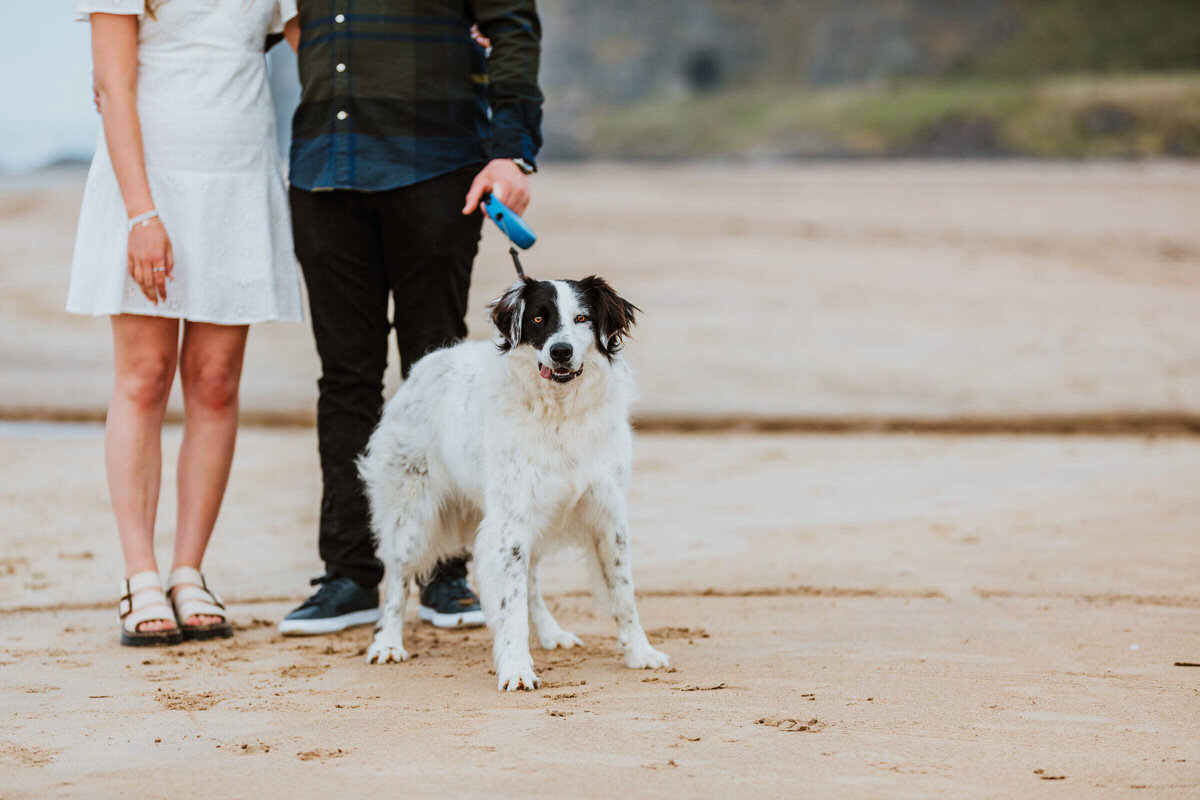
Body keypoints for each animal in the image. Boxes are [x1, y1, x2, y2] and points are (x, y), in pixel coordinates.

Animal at [355, 275, 676, 690]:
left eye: (582, 317)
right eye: (539, 318)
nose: (560, 351)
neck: (560, 412)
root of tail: (423, 367)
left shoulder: (606, 515)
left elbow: (623, 592)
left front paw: (640, 652)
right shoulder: (510, 523)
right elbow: (510, 605)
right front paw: (516, 668)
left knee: (531, 583)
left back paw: (551, 633)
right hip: (412, 515)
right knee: (397, 579)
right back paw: (388, 644)